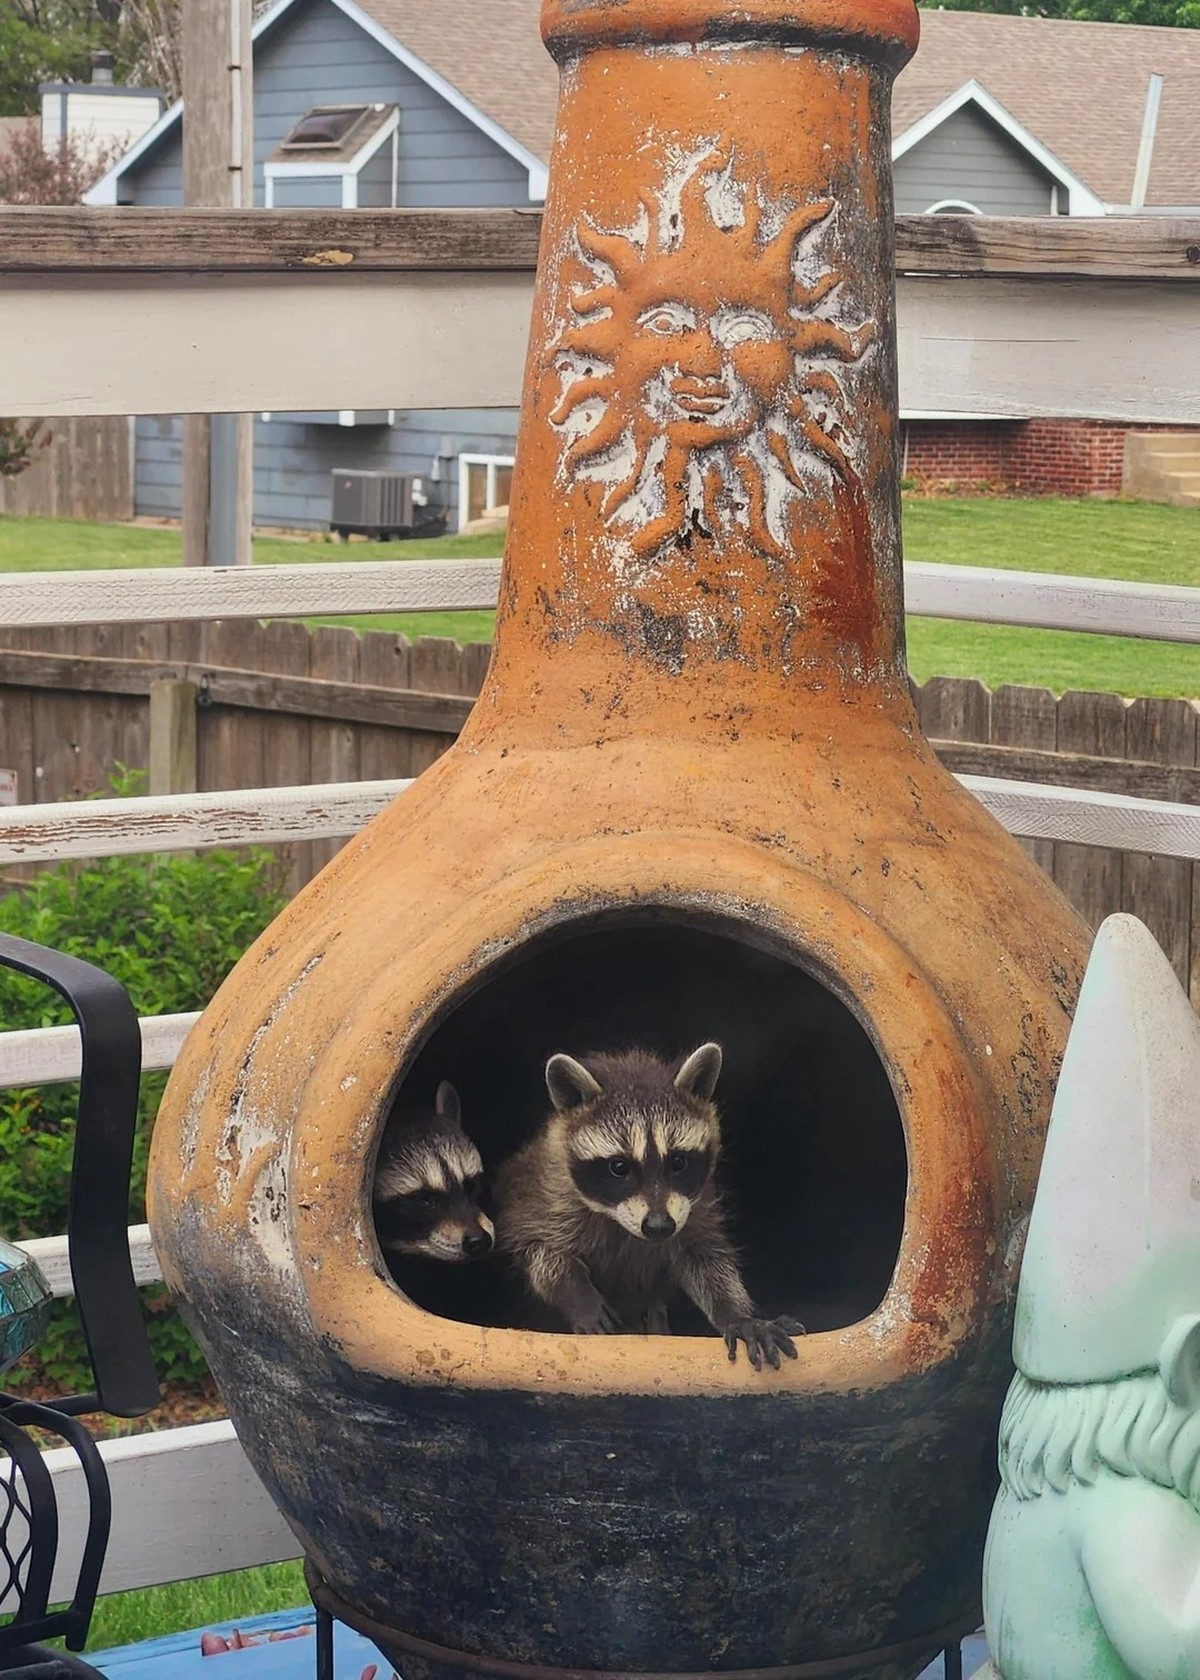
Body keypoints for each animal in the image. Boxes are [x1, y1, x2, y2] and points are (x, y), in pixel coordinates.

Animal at [495, 1043, 804, 1370]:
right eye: (619, 1167)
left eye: (678, 1162)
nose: (659, 1226)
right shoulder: (544, 1196)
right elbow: (538, 1249)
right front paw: (576, 1293)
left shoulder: (695, 1208)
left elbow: (707, 1261)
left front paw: (736, 1314)